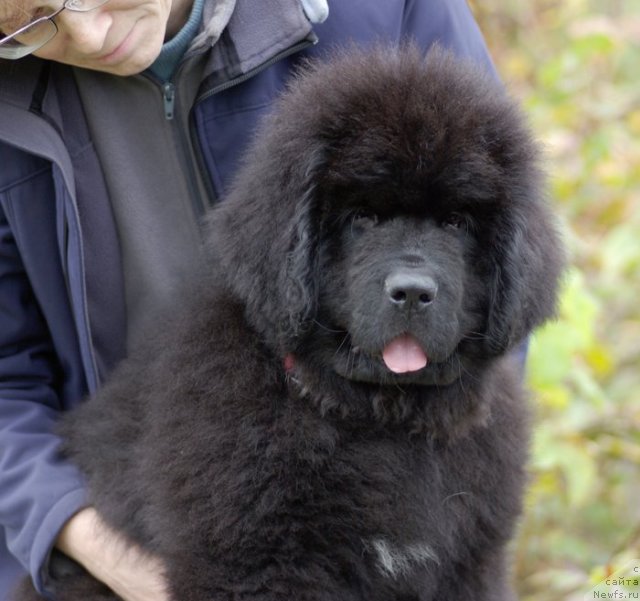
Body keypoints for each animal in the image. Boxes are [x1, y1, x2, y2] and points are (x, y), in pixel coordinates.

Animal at [15, 47, 564, 600]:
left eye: (455, 222)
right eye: (362, 216)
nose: (412, 292)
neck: (383, 421)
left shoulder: (470, 564)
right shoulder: (257, 568)